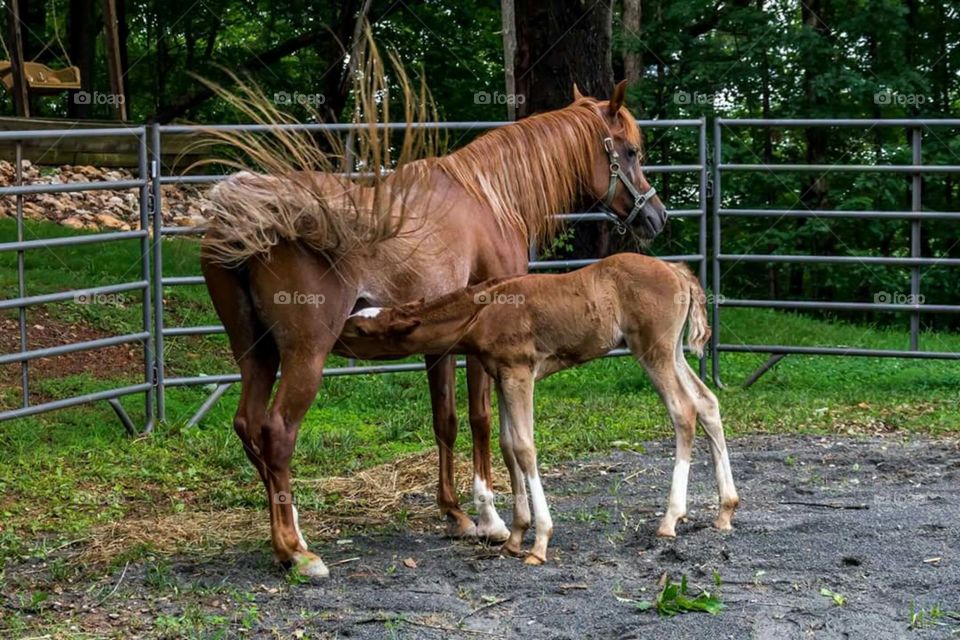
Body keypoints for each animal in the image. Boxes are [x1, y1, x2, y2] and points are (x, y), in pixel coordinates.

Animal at [200, 81, 668, 579]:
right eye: (631, 151)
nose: (656, 217)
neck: (488, 199)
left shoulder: (439, 344)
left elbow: (445, 420)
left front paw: (456, 515)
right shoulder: (482, 344)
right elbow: (482, 419)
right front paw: (491, 519)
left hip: (256, 354)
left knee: (248, 426)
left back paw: (292, 539)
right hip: (305, 355)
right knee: (276, 433)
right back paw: (297, 552)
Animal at [340, 254, 740, 564]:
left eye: (360, 330)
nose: (334, 335)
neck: (482, 311)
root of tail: (675, 270)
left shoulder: (520, 372)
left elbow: (524, 447)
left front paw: (540, 541)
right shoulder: (502, 375)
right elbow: (507, 445)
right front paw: (516, 536)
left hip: (652, 350)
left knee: (683, 411)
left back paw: (670, 519)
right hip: (672, 352)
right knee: (707, 402)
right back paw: (725, 509)